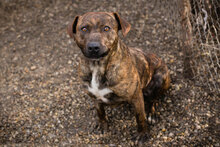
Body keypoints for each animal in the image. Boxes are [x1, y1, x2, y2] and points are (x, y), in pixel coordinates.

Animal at [67, 12, 170, 143]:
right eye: (84, 29)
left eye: (106, 28)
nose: (93, 47)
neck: (97, 66)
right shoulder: (95, 97)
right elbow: (100, 112)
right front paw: (103, 124)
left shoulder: (136, 96)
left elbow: (140, 117)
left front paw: (142, 134)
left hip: (159, 79)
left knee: (154, 99)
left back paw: (152, 114)